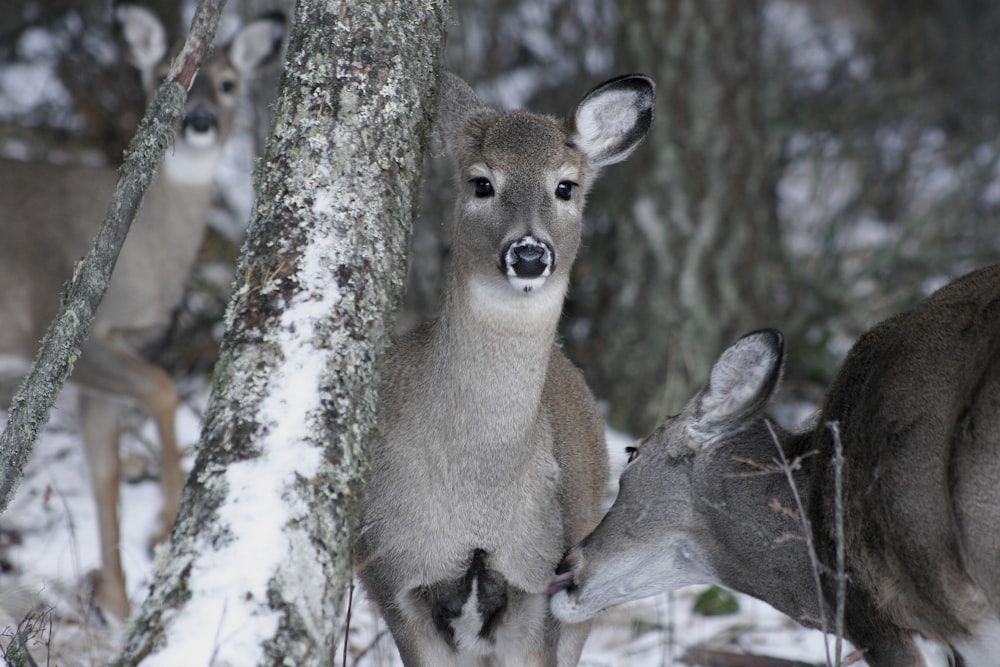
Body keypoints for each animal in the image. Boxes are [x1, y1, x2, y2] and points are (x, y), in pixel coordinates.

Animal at [0, 3, 286, 620]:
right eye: (168, 76)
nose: (200, 119)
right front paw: (164, 525)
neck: (144, 271)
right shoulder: (58, 329)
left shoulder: (95, 368)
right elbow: (163, 387)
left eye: (230, 84)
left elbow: (103, 470)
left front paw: (116, 601)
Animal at [352, 73, 656, 667]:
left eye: (565, 187)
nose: (530, 253)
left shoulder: (538, 582)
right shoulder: (394, 578)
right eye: (481, 183)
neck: (478, 489)